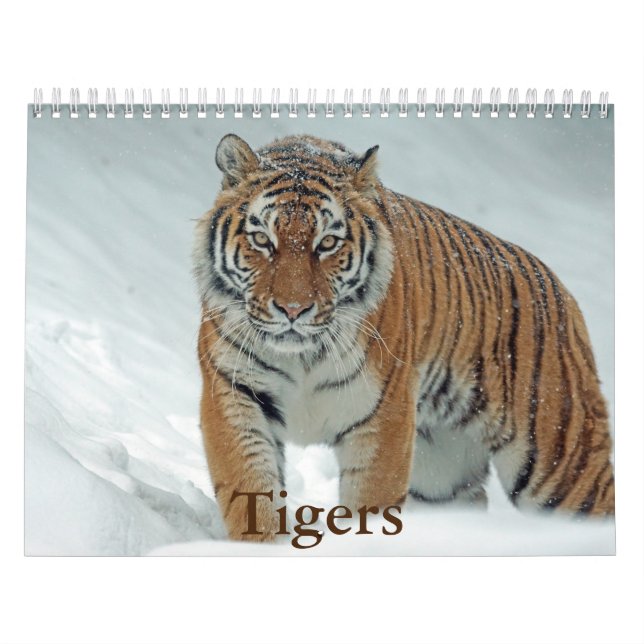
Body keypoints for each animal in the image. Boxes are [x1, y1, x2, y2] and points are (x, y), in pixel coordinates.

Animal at [193, 133, 615, 542]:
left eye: (327, 243)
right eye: (262, 240)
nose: (293, 310)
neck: (302, 357)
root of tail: (561, 291)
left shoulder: (383, 417)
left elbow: (370, 505)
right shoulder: (234, 395)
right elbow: (251, 492)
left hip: (562, 464)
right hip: (441, 474)